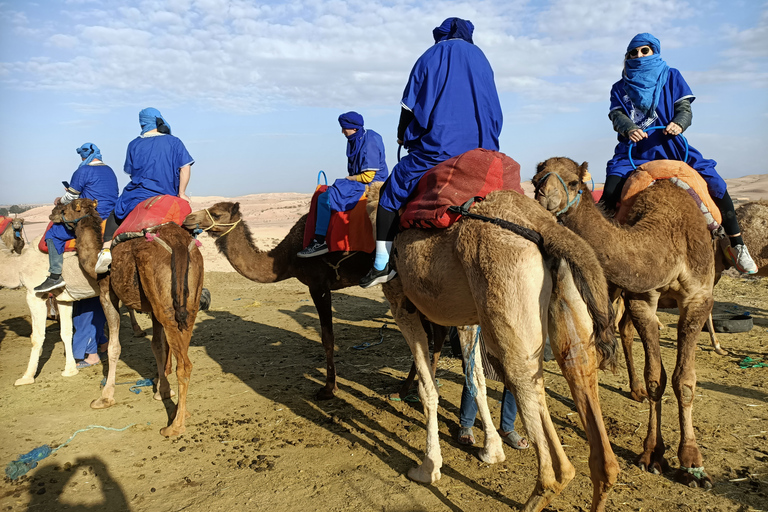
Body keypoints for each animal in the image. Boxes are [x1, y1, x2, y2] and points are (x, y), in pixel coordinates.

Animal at [59, 198, 204, 438]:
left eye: (64, 207)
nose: (52, 214)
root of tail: (179, 243)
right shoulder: (152, 307)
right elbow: (158, 346)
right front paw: (163, 390)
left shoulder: (107, 294)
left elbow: (114, 347)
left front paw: (105, 397)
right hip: (187, 302)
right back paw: (182, 413)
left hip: (166, 306)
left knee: (185, 365)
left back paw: (175, 426)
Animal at [182, 182, 448, 402]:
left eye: (216, 213)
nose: (188, 218)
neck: (286, 257)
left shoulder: (317, 284)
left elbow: (327, 338)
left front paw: (328, 389)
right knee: (436, 331)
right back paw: (414, 388)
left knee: (429, 333)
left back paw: (409, 389)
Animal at [380, 188, 620, 512]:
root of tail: (545, 226)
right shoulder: (465, 318)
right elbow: (477, 380)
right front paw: (491, 449)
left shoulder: (400, 302)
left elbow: (429, 388)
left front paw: (428, 467)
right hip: (562, 302)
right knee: (574, 370)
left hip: (504, 294)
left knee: (523, 383)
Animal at [536, 156, 712, 488]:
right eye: (536, 177)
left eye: (575, 182)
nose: (543, 194)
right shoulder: (641, 297)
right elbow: (656, 377)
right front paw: (652, 455)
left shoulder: (698, 298)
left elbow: (684, 380)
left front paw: (692, 464)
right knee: (624, 331)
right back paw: (634, 389)